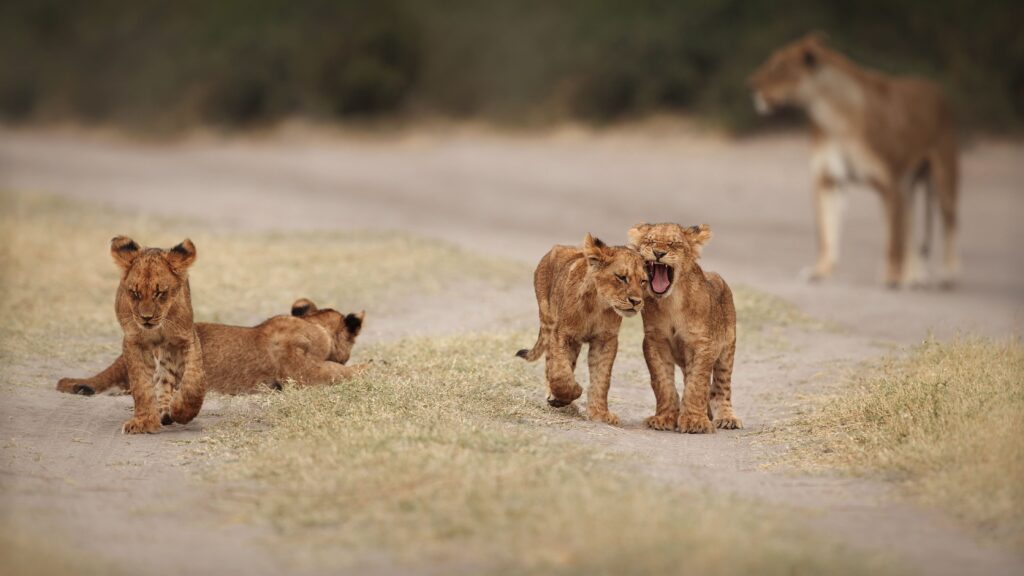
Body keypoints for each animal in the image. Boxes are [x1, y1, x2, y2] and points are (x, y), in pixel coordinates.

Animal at [108, 236, 206, 434]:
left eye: (160, 293)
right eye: (135, 293)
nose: (146, 318)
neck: (159, 327)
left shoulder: (186, 339)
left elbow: (193, 380)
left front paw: (182, 411)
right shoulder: (134, 342)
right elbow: (141, 385)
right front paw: (144, 422)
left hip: (169, 350)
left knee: (165, 376)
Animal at [516, 234, 646, 425]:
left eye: (644, 281)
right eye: (621, 277)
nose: (636, 301)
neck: (598, 305)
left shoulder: (606, 340)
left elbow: (601, 377)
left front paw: (600, 413)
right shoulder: (562, 334)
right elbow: (560, 372)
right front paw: (572, 392)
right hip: (548, 320)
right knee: (550, 364)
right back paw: (557, 398)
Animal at [628, 223, 741, 434]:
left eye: (674, 244)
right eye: (650, 241)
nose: (658, 253)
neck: (671, 301)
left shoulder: (703, 344)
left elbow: (697, 385)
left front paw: (694, 421)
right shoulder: (654, 341)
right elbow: (663, 383)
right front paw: (665, 418)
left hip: (727, 350)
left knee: (720, 388)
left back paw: (726, 418)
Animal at [748, 32, 959, 288]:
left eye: (779, 66)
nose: (751, 83)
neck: (832, 115)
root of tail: (937, 89)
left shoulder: (889, 182)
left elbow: (892, 240)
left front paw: (890, 278)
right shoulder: (827, 180)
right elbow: (826, 231)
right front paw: (820, 271)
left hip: (943, 172)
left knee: (949, 220)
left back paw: (947, 275)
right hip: (908, 185)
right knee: (909, 224)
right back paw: (912, 277)